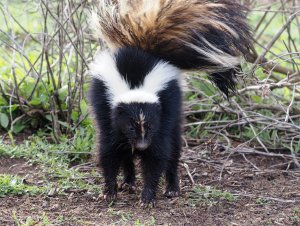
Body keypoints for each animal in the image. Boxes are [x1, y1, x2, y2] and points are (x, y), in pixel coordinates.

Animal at [88, 0, 252, 205]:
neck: (136, 87)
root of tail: (145, 49)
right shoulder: (109, 115)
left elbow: (158, 154)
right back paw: (128, 181)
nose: (142, 146)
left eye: (150, 126)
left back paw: (172, 188)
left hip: (174, 110)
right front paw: (109, 191)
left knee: (173, 151)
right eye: (131, 127)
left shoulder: (163, 112)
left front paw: (147, 197)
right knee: (124, 150)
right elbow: (109, 150)